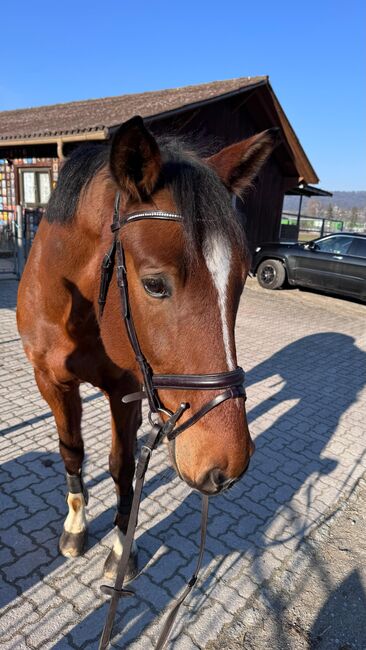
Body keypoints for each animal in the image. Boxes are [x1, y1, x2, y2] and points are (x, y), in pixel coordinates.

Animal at [15, 116, 276, 584]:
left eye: (242, 278)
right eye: (155, 284)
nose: (227, 465)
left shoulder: (126, 391)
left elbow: (123, 466)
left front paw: (122, 549)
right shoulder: (51, 381)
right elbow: (71, 450)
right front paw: (76, 525)